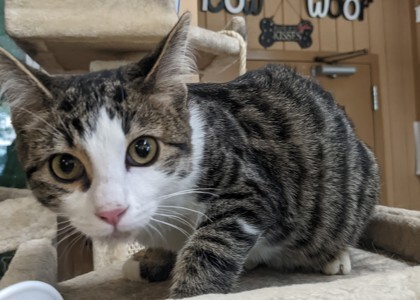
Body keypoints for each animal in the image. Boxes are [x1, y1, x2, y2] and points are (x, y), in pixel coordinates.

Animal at [0, 12, 378, 298]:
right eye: (65, 165)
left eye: (143, 149)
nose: (111, 211)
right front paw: (150, 259)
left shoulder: (250, 185)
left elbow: (214, 241)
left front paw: (192, 289)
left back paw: (334, 256)